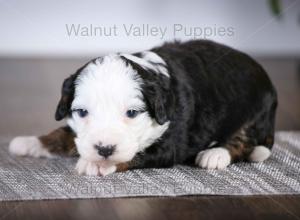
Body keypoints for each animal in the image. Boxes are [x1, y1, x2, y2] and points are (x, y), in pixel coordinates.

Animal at [8, 40, 276, 176]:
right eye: (83, 112)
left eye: (132, 113)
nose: (104, 149)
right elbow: (64, 133)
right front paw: (30, 142)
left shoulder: (170, 145)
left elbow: (135, 154)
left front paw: (96, 164)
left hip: (255, 112)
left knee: (244, 142)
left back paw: (215, 154)